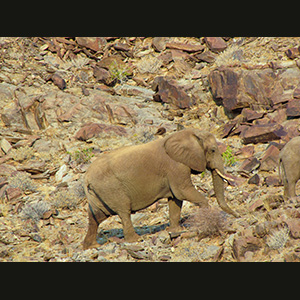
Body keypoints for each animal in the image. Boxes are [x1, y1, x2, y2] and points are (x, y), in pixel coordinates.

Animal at [82, 128, 239, 248]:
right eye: (212, 150)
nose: (237, 216)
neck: (187, 133)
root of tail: (86, 178)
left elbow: (175, 199)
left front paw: (176, 230)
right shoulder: (175, 166)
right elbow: (183, 191)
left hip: (98, 194)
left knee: (96, 217)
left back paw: (91, 246)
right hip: (111, 188)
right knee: (123, 211)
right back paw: (136, 240)